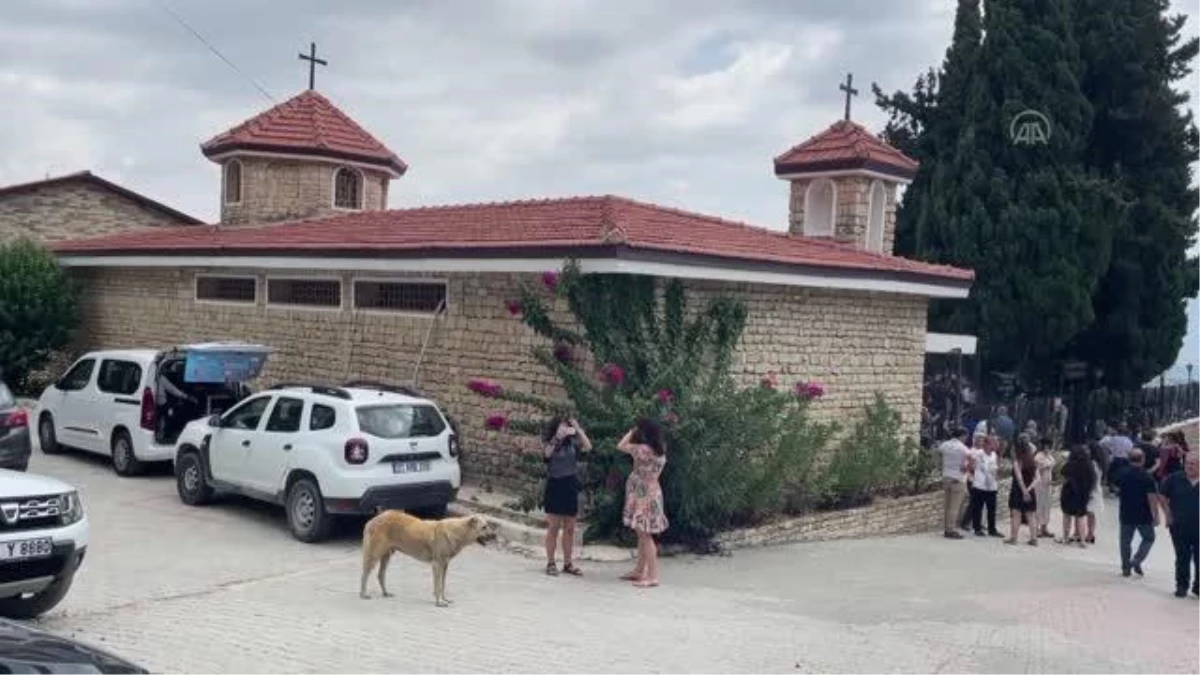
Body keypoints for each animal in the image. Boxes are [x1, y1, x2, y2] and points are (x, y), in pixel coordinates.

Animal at [355, 509, 496, 605]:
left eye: (488, 525)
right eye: (484, 527)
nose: (494, 536)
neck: (457, 531)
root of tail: (372, 520)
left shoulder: (445, 565)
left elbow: (442, 585)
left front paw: (444, 599)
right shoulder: (437, 564)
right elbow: (437, 585)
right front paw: (439, 602)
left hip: (386, 555)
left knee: (380, 575)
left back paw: (385, 593)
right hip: (375, 554)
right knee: (364, 574)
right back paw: (363, 594)